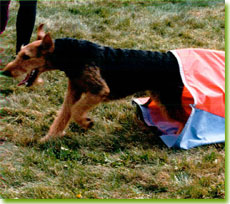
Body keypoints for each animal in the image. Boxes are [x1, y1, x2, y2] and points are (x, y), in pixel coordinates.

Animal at [2, 24, 189, 142]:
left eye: (26, 56)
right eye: (20, 53)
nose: (5, 72)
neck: (71, 55)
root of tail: (172, 60)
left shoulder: (99, 90)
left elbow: (76, 111)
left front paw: (87, 122)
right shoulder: (74, 89)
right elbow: (64, 114)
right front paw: (48, 138)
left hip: (170, 101)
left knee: (186, 118)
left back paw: (181, 139)